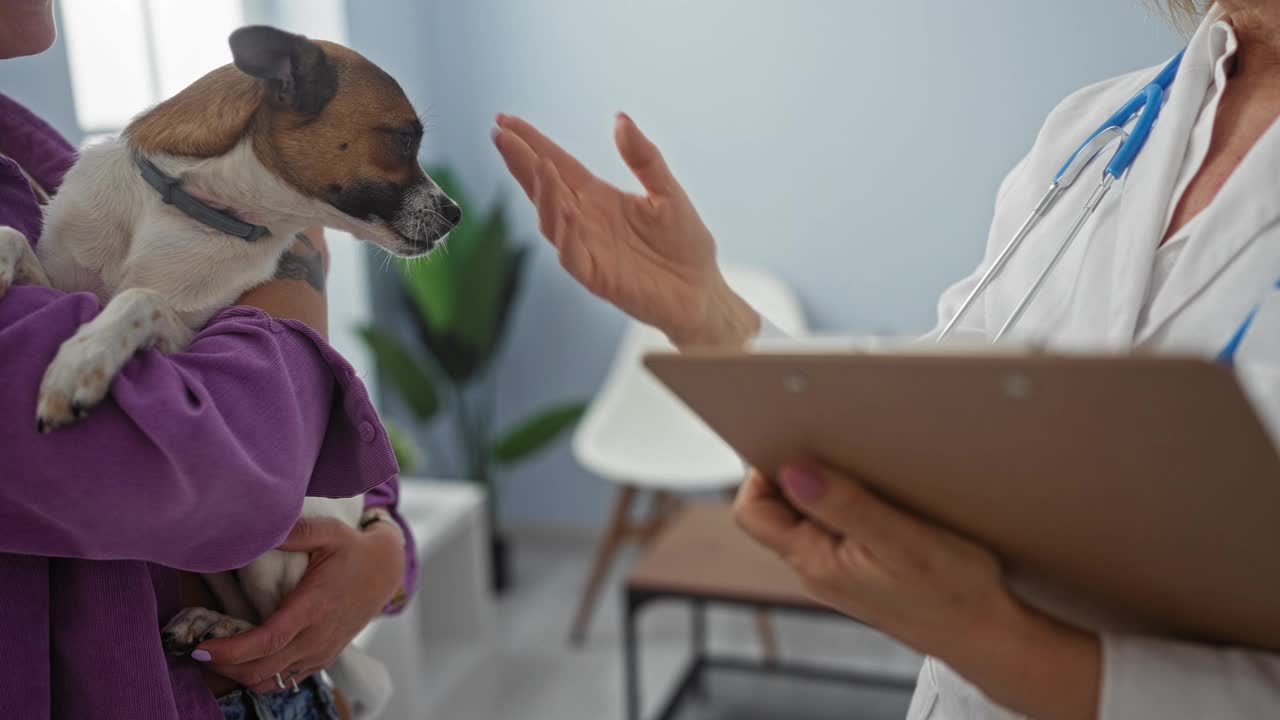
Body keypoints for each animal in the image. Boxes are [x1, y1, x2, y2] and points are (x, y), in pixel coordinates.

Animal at [0, 25, 458, 712]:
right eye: (404, 139)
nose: (456, 213)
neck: (187, 207)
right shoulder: (60, 280)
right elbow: (15, 241)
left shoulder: (185, 335)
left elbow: (140, 299)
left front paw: (81, 359)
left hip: (277, 544)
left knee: (279, 631)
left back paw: (219, 627)